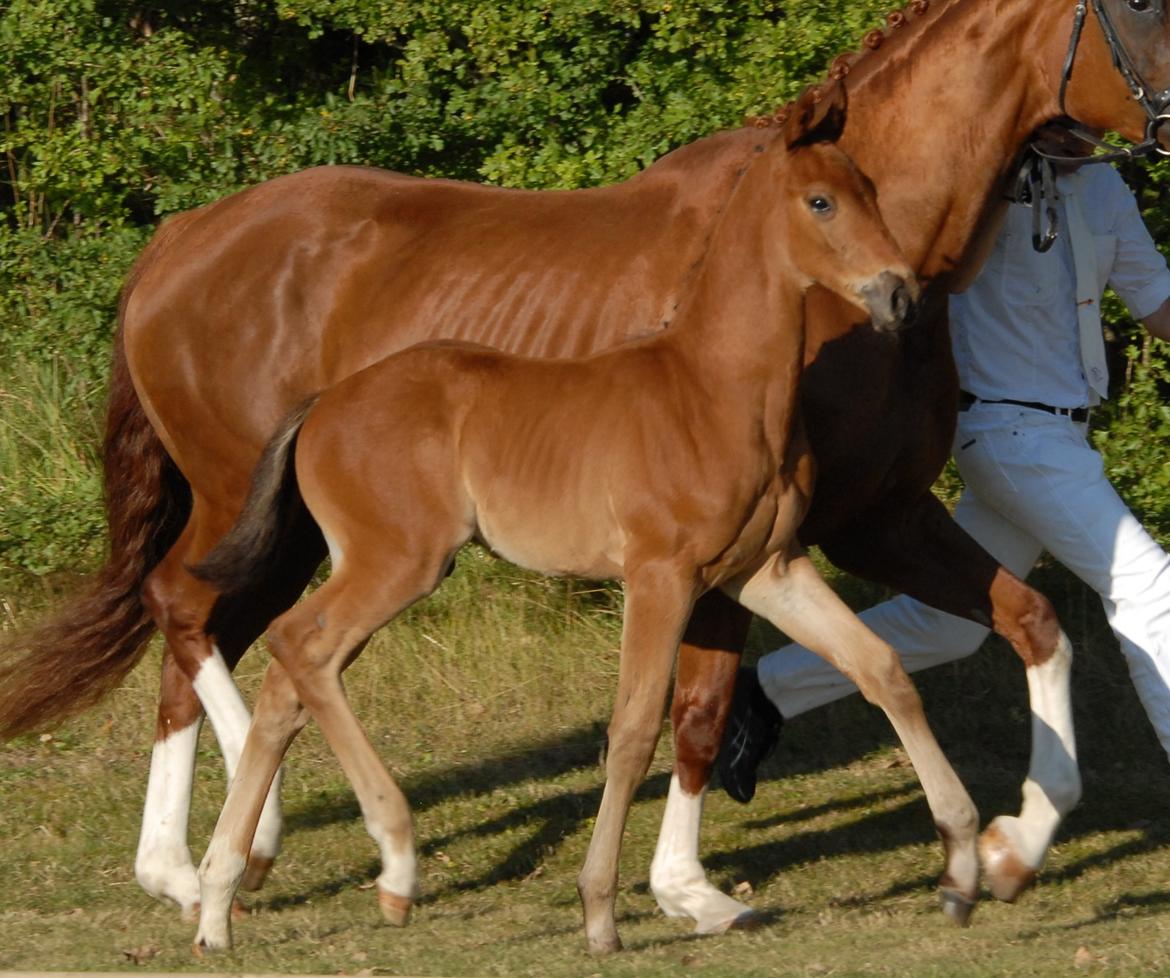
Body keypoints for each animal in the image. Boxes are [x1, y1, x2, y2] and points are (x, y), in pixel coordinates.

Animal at [191, 101, 964, 954]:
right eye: (820, 202)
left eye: (870, 190)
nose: (900, 297)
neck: (716, 389)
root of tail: (323, 404)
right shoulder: (661, 575)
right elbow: (632, 730)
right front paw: (599, 912)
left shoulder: (768, 571)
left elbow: (883, 668)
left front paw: (966, 860)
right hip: (398, 562)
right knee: (299, 647)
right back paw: (390, 863)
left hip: (366, 565)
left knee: (290, 679)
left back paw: (218, 901)